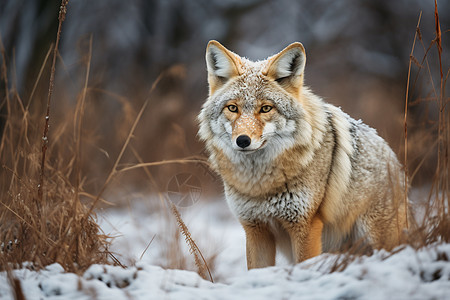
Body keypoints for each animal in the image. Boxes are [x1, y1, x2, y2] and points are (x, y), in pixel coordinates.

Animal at [198, 40, 408, 270]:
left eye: (266, 108)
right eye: (233, 108)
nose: (243, 140)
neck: (260, 184)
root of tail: (395, 161)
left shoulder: (305, 226)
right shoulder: (255, 229)